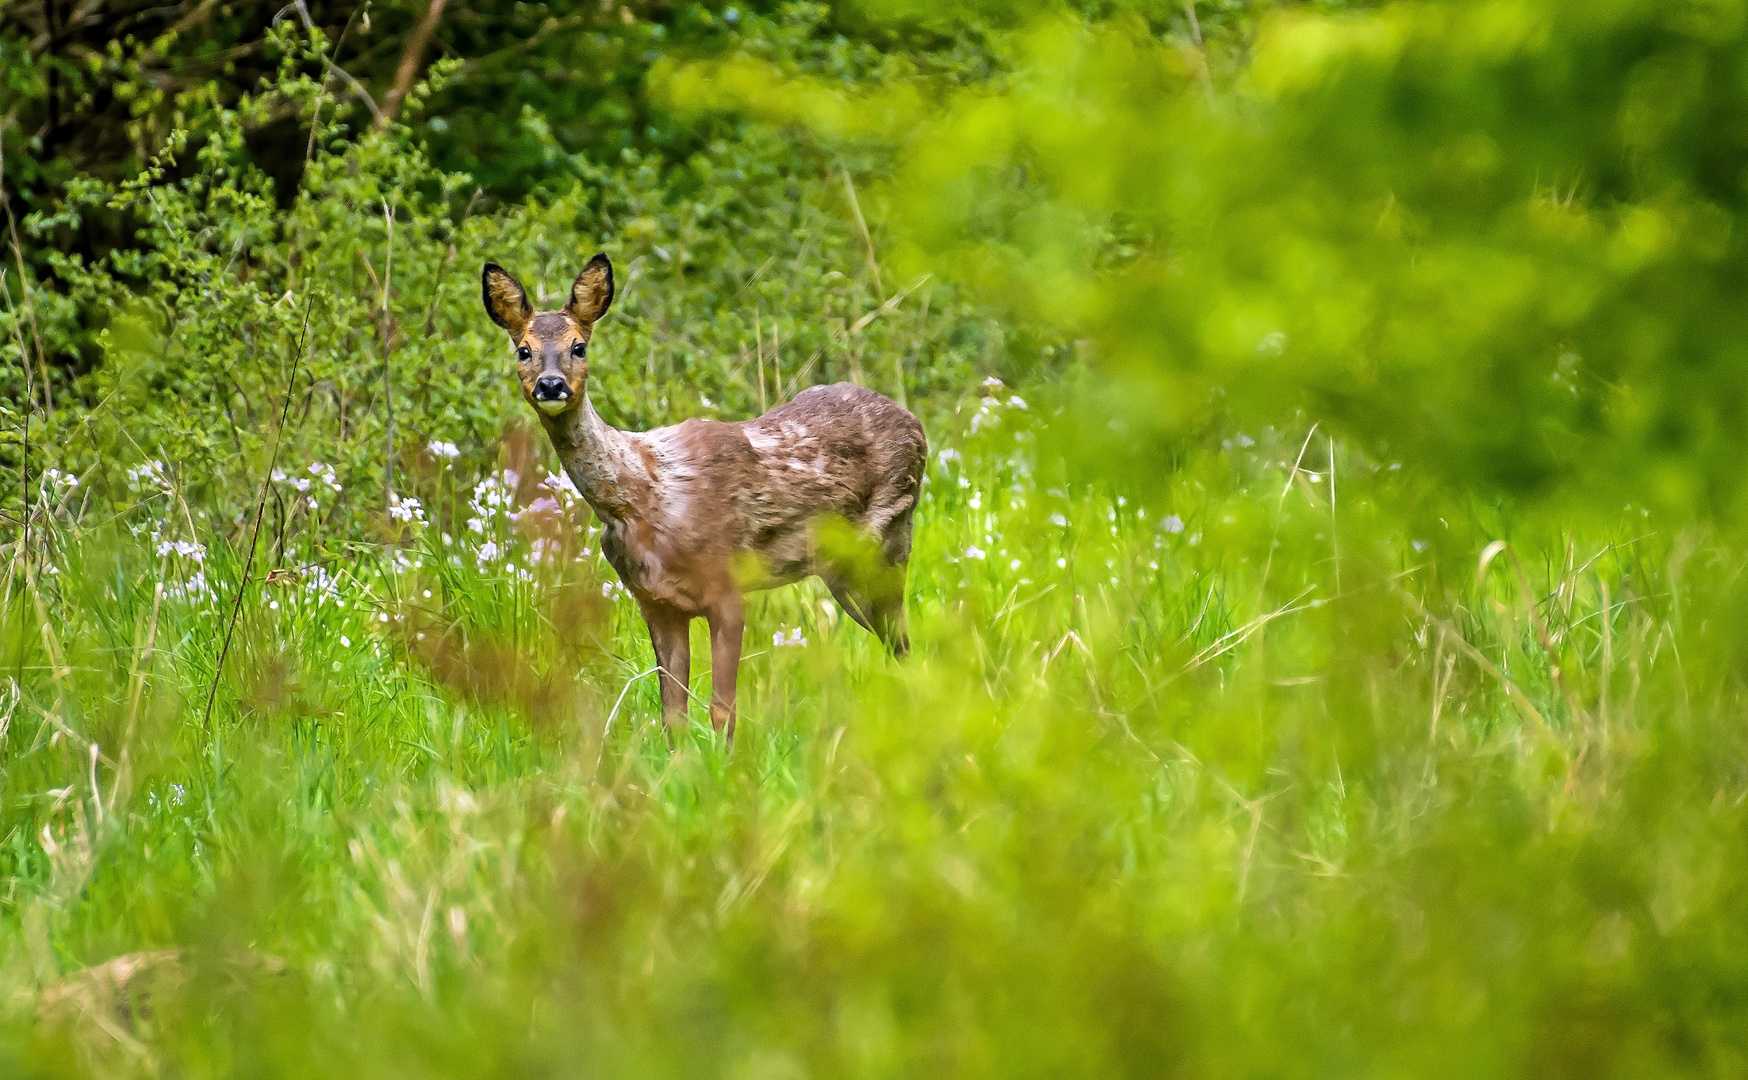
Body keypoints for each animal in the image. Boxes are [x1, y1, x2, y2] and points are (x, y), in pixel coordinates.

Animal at [485, 255, 929, 740]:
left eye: (579, 346)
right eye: (523, 350)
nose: (550, 385)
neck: (641, 497)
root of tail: (916, 425)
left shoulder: (727, 588)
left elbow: (723, 710)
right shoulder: (656, 603)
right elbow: (673, 716)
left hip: (888, 541)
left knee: (904, 643)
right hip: (842, 570)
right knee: (898, 645)